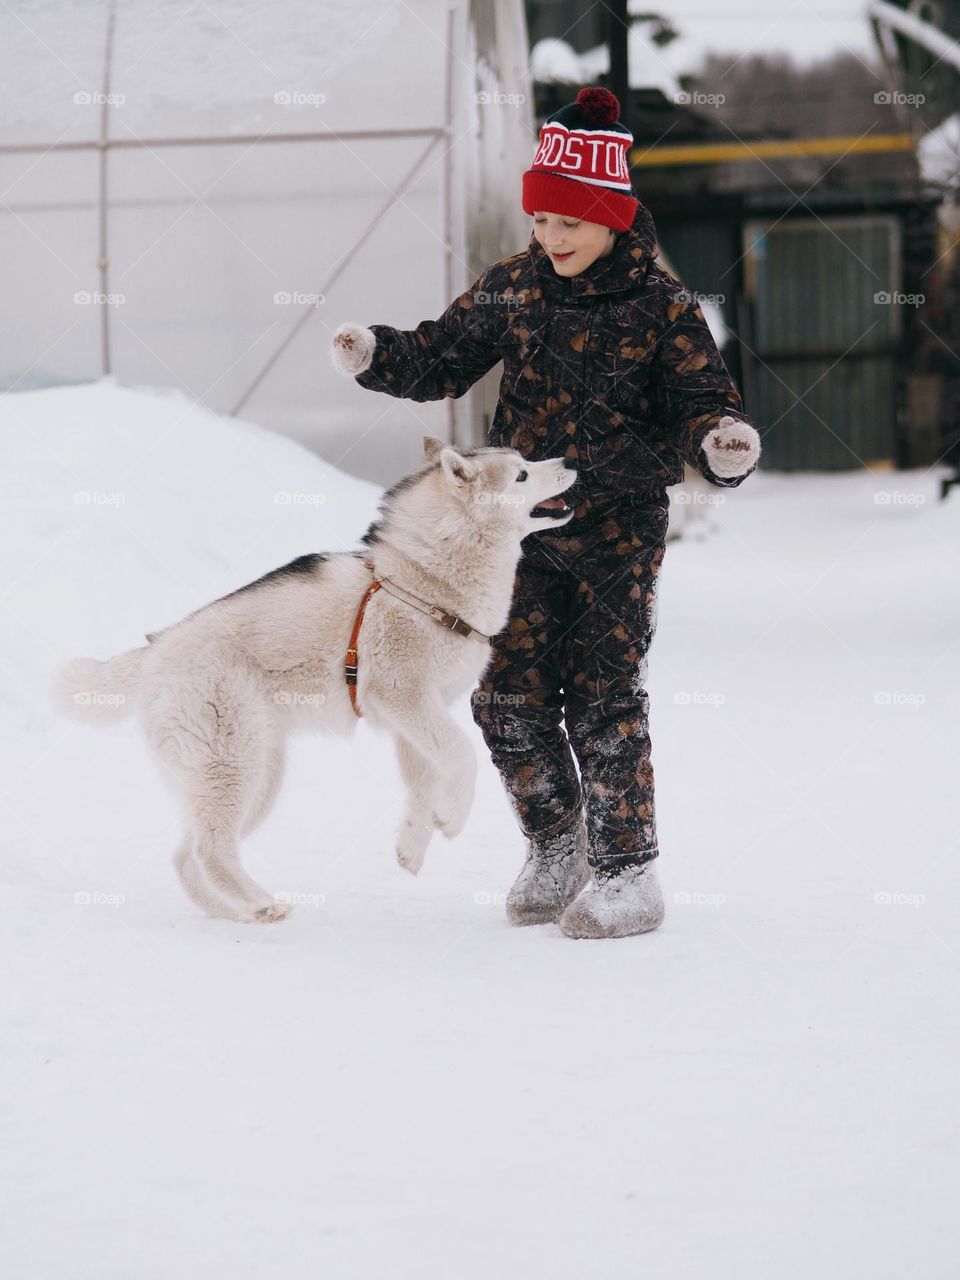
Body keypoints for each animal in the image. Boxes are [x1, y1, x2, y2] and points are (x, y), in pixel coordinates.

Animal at [54, 437, 578, 921]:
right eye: (521, 475)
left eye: (527, 462)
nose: (570, 460)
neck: (425, 583)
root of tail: (153, 654)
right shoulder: (402, 696)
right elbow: (462, 756)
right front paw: (451, 816)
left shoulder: (411, 721)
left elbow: (423, 784)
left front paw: (414, 843)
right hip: (234, 770)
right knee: (209, 850)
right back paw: (261, 902)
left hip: (256, 779)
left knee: (186, 856)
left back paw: (234, 914)